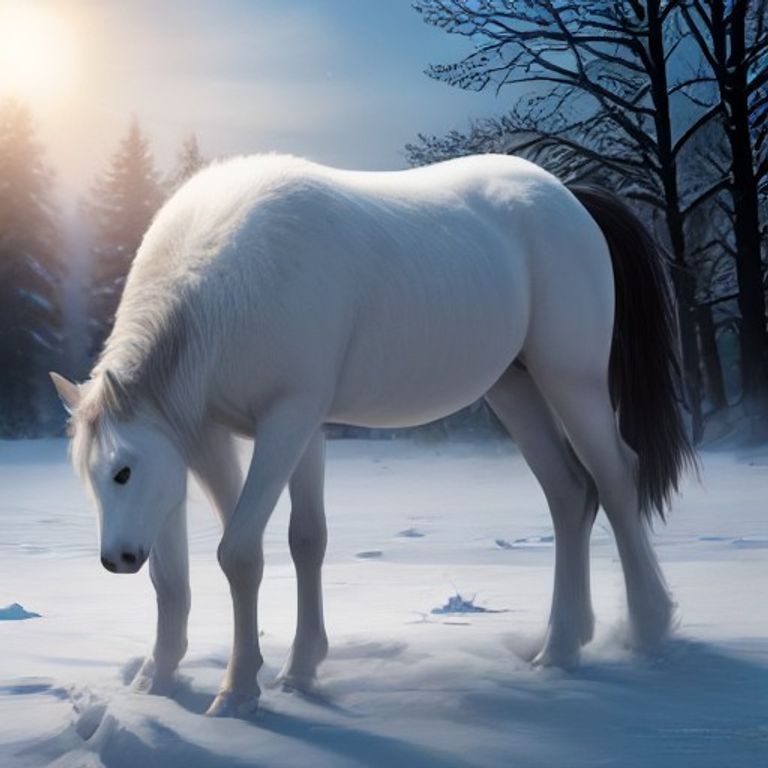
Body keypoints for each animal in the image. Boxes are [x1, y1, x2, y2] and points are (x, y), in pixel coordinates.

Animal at [50, 153, 696, 718]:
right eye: (90, 479)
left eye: (123, 470)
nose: (117, 559)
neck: (222, 291)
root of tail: (570, 197)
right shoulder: (237, 434)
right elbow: (275, 548)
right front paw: (177, 679)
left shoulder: (287, 419)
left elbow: (240, 553)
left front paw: (237, 694)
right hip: (515, 387)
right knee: (570, 492)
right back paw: (561, 647)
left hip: (571, 380)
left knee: (616, 479)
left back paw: (646, 629)